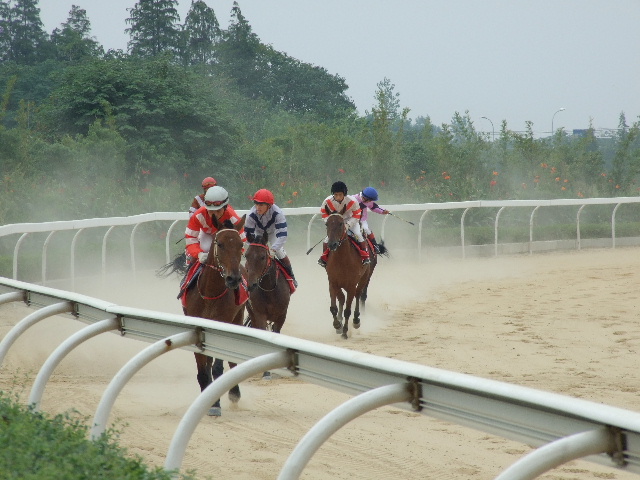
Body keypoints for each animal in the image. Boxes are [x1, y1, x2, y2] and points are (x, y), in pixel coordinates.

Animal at [182, 217, 250, 416]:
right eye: (220, 244)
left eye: (240, 244)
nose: (233, 279)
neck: (210, 292)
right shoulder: (196, 327)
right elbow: (203, 368)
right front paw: (206, 398)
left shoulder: (223, 323)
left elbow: (218, 367)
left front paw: (215, 404)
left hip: (238, 317)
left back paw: (234, 394)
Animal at [244, 232, 292, 378]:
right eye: (246, 255)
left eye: (262, 256)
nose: (252, 285)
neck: (269, 289)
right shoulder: (259, 314)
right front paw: (265, 371)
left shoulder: (282, 314)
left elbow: (276, 333)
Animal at [324, 212, 370, 340]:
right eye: (327, 224)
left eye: (341, 224)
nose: (332, 244)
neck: (341, 260)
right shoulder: (332, 283)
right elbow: (333, 308)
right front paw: (337, 325)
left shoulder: (351, 286)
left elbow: (347, 310)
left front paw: (344, 331)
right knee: (342, 298)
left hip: (364, 278)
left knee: (358, 295)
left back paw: (356, 320)